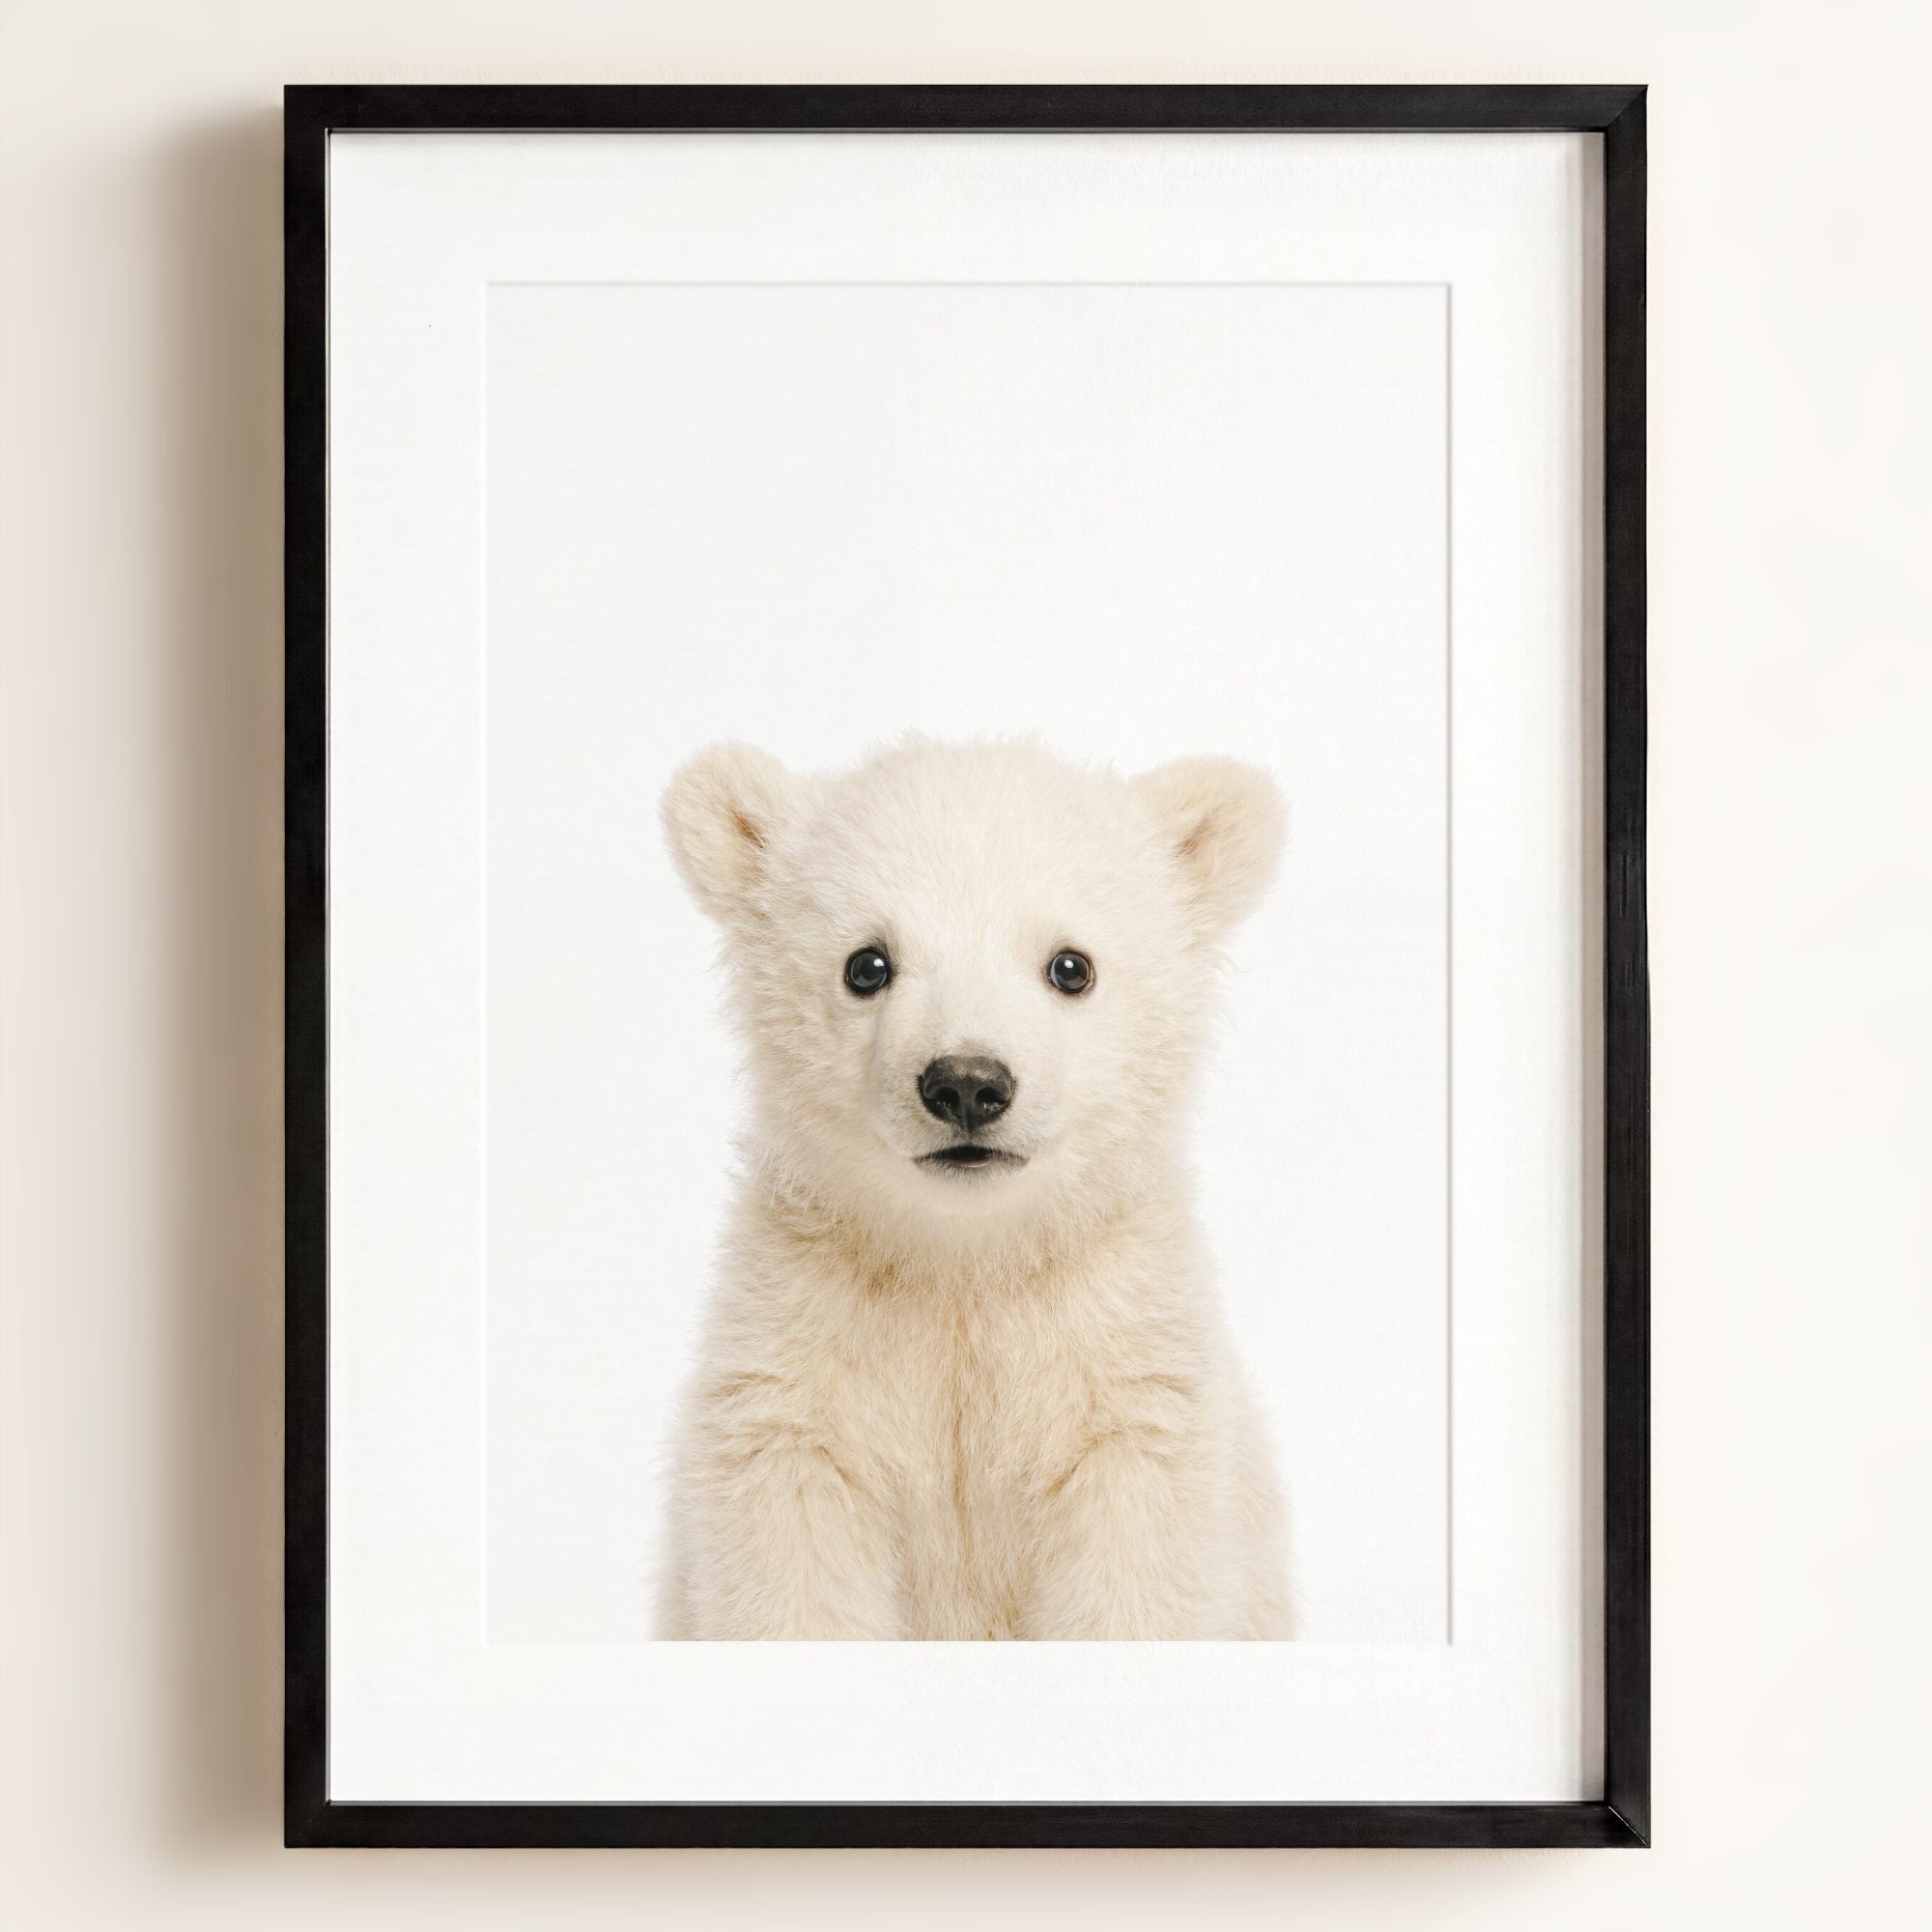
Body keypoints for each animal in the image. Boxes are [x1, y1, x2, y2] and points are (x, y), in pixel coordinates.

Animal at [654, 737, 1291, 1639]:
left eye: (1071, 966)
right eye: (867, 964)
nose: (966, 1084)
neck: (966, 1261)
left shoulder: (1124, 1375)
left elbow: (1136, 1574)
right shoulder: (799, 1364)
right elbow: (791, 1562)